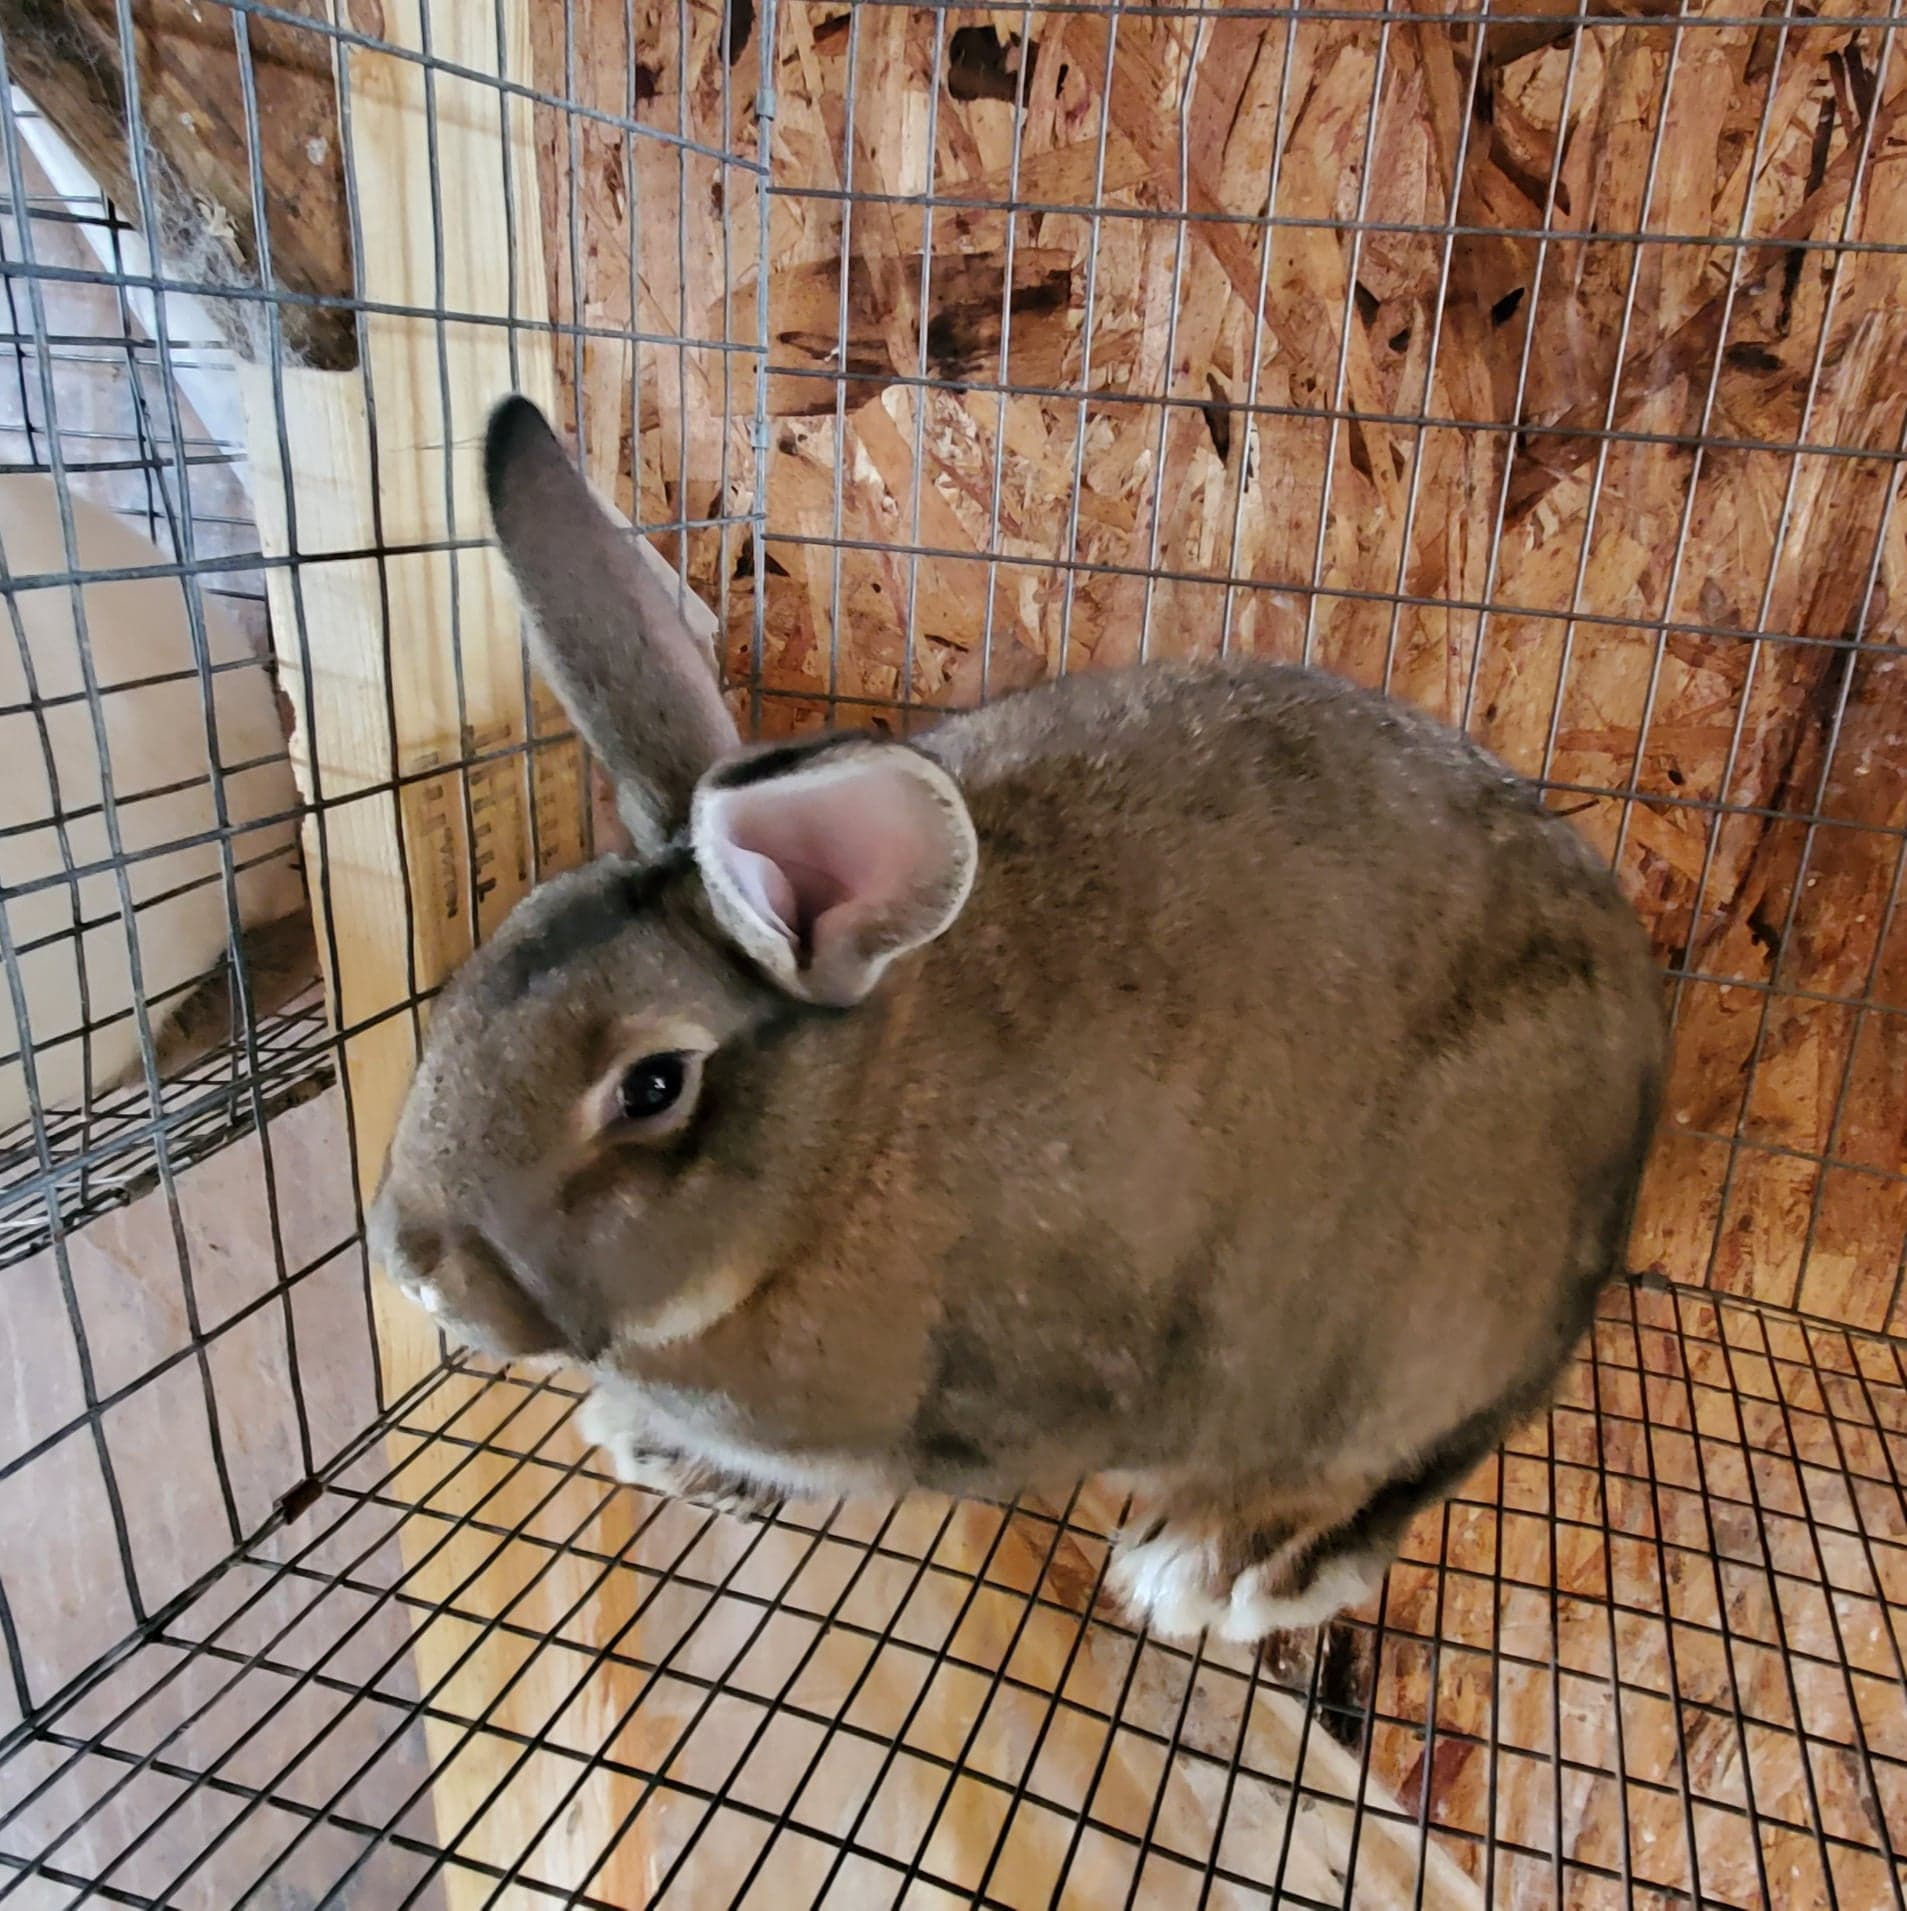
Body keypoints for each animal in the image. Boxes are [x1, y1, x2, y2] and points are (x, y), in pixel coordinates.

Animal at [369, 396, 1665, 1643]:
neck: (838, 1160)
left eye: (650, 1086)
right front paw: (648, 1444)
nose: (416, 1272)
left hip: (1408, 1323)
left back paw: (1215, 1569)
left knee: (1385, 1464)